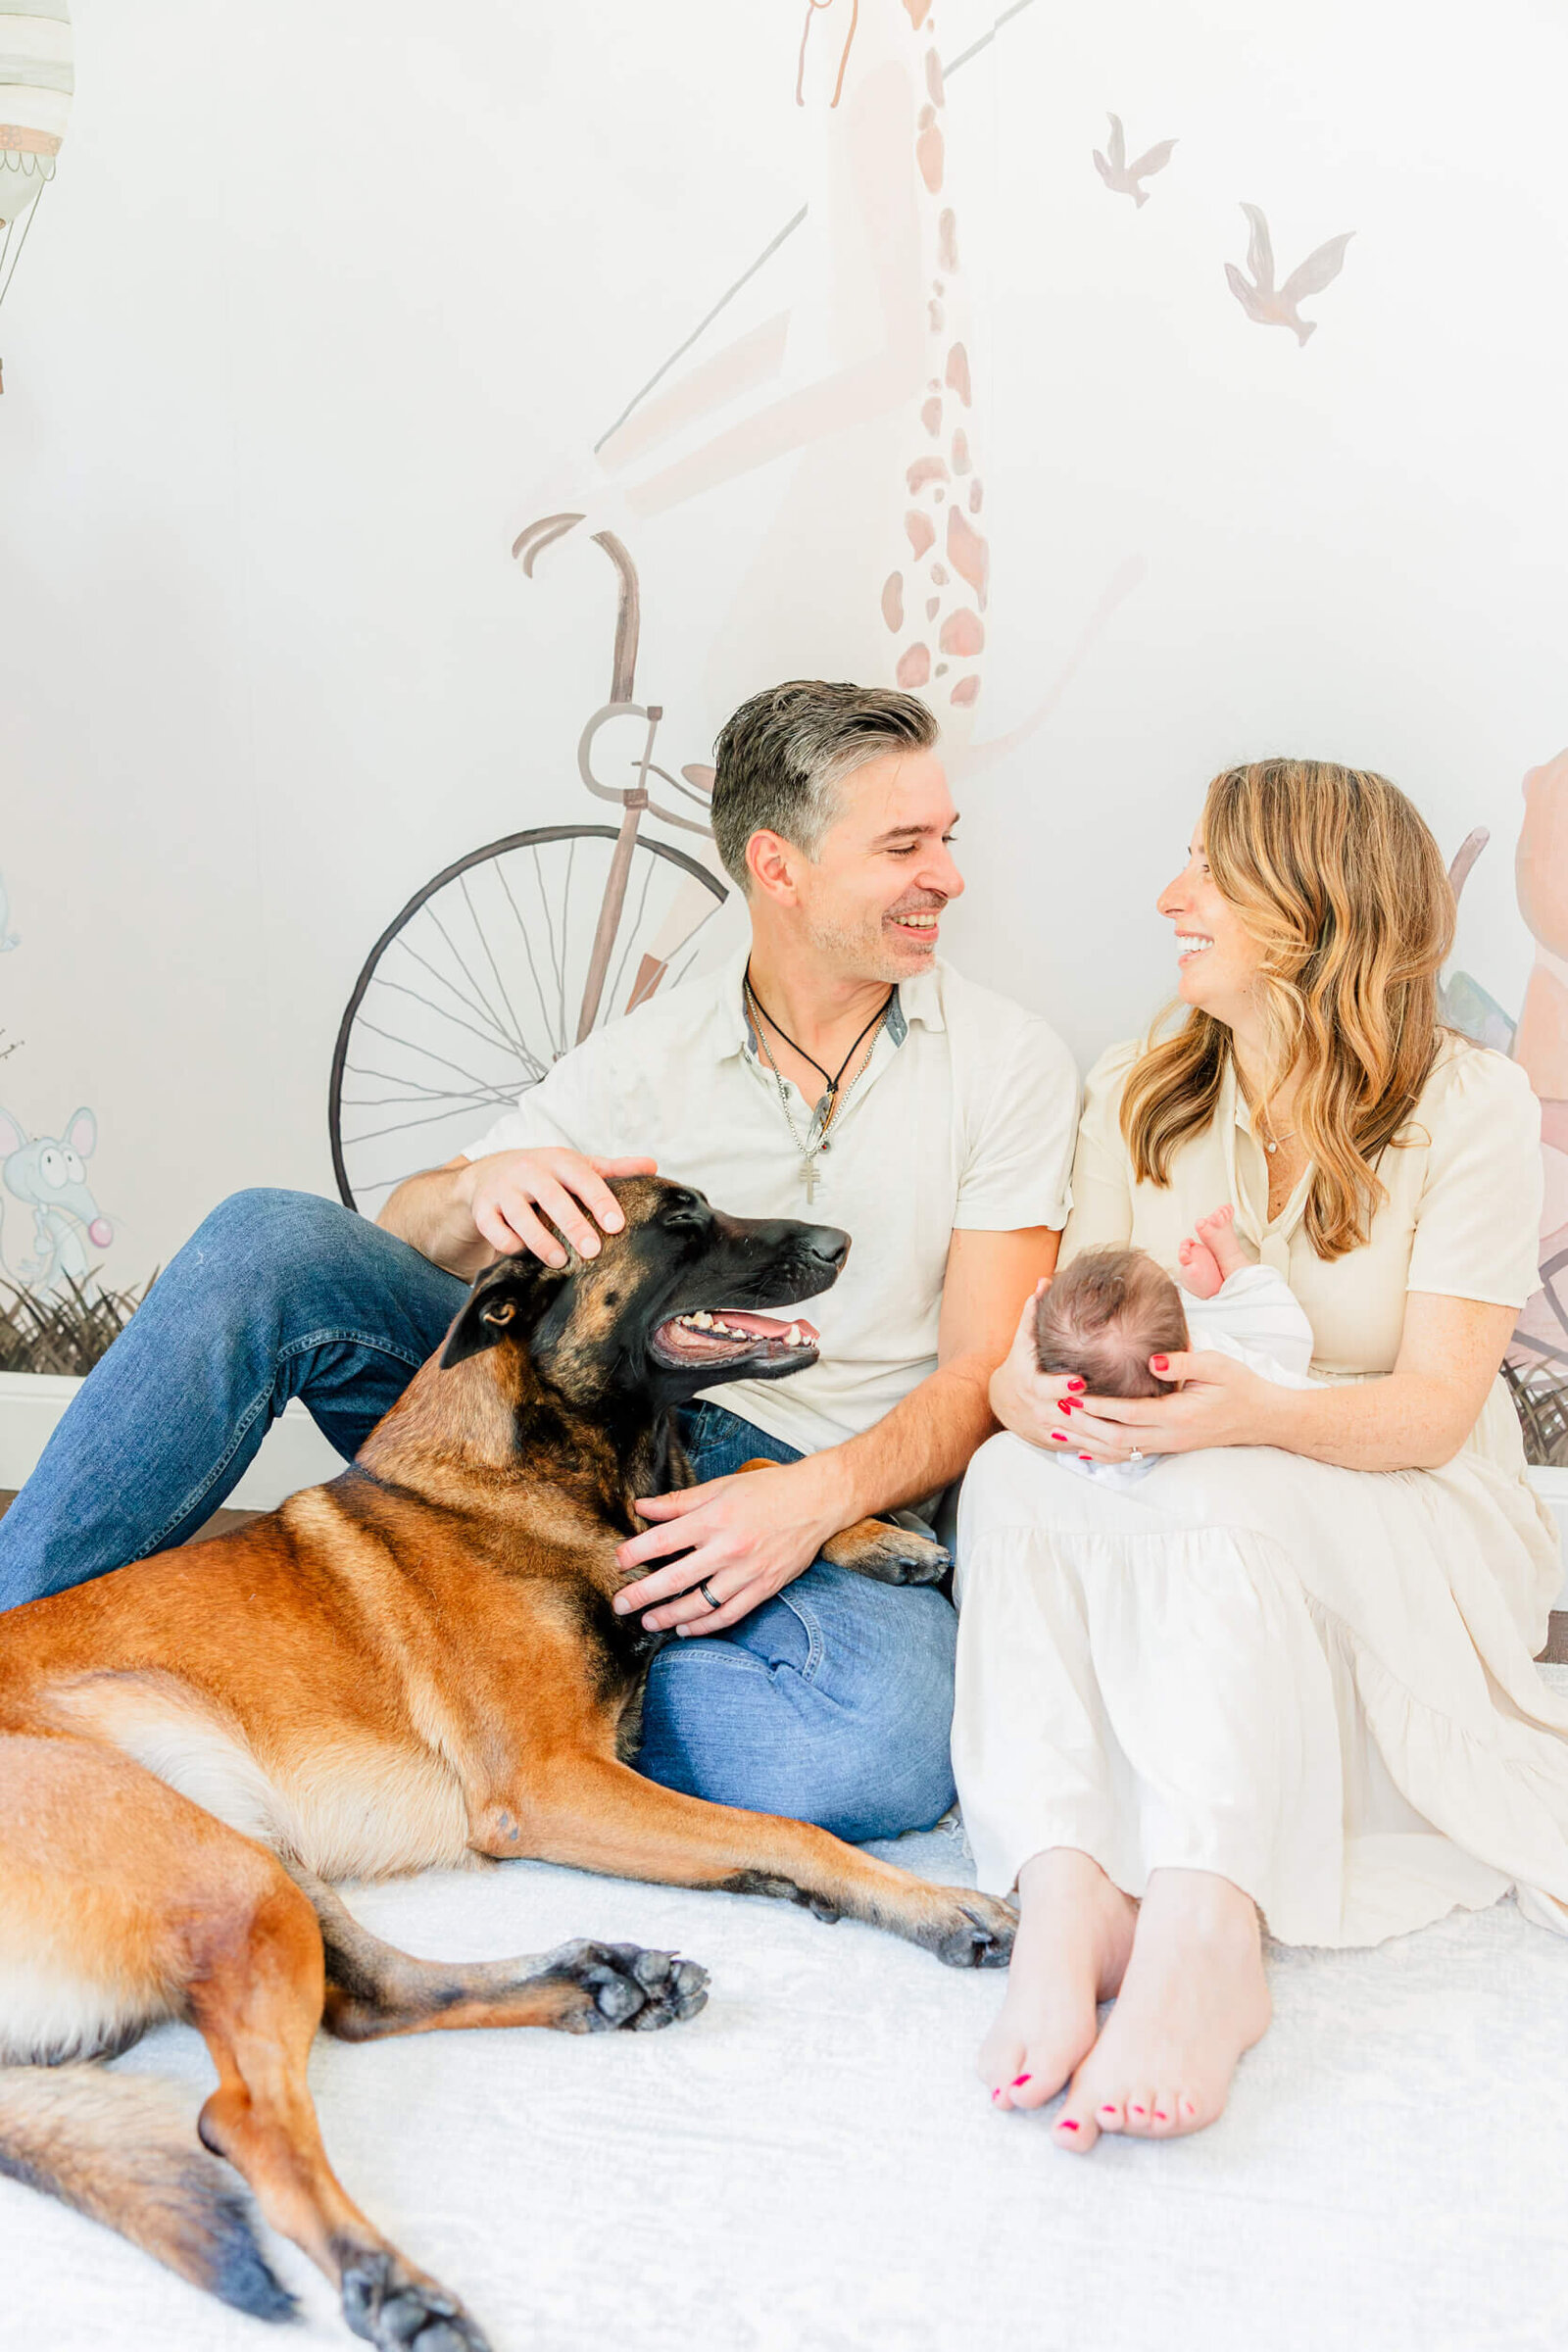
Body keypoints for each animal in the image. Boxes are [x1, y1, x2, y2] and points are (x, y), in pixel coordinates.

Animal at [0, 1185, 1010, 2342]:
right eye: (680, 1218)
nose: (841, 1242)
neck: (560, 1467)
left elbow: (752, 1478)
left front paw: (877, 1533)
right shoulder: (551, 1784)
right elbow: (786, 1827)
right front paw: (934, 1903)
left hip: (250, 1853)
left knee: (368, 1999)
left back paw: (604, 1984)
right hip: (215, 1868)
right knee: (244, 2114)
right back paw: (392, 2281)